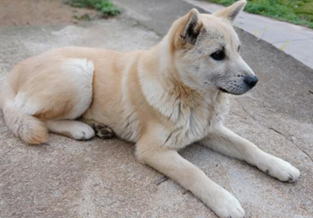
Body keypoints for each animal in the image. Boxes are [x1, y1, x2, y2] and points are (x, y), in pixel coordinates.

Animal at [0, 0, 300, 217]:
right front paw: (224, 200)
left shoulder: (210, 129)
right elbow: (194, 172)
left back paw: (99, 126)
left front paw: (279, 166)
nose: (254, 81)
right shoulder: (154, 150)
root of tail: (15, 72)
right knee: (36, 117)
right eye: (217, 54)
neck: (188, 94)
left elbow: (248, 146)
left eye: (239, 50)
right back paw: (79, 128)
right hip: (80, 72)